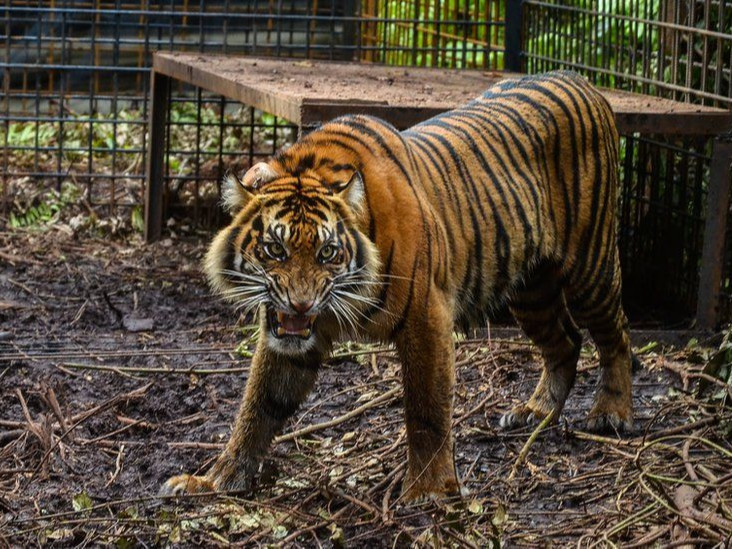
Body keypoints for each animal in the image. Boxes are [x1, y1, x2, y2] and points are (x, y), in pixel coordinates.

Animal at [160, 69, 636, 500]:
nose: (300, 305)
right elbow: (258, 407)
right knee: (565, 341)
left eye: (327, 253)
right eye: (274, 249)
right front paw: (215, 480)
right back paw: (534, 411)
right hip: (531, 289)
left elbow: (427, 409)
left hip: (590, 265)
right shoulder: (286, 338)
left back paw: (610, 413)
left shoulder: (427, 316)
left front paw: (428, 490)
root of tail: (579, 79)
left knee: (615, 335)